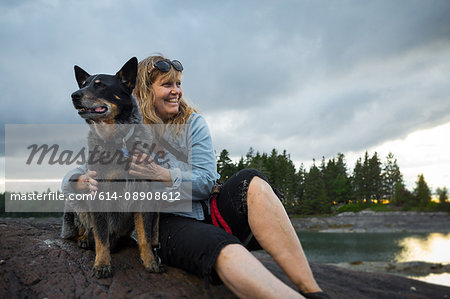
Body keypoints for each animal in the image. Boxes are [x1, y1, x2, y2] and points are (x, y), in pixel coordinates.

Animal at [60, 56, 163, 278]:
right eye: (83, 84)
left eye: (100, 85)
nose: (74, 95)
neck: (117, 140)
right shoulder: (97, 191)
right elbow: (101, 236)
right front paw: (102, 264)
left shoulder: (144, 193)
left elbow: (145, 235)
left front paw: (150, 261)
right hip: (76, 202)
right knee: (83, 230)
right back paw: (84, 239)